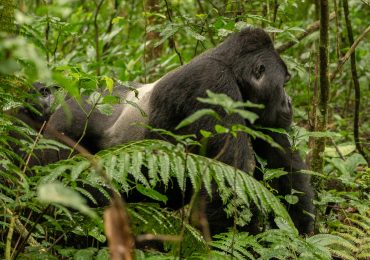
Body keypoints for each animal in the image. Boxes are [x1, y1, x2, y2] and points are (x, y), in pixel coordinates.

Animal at [40, 27, 314, 235]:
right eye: (284, 83)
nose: (289, 102)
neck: (232, 68)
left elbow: (283, 164)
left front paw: (301, 235)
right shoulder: (214, 84)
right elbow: (225, 185)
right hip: (61, 130)